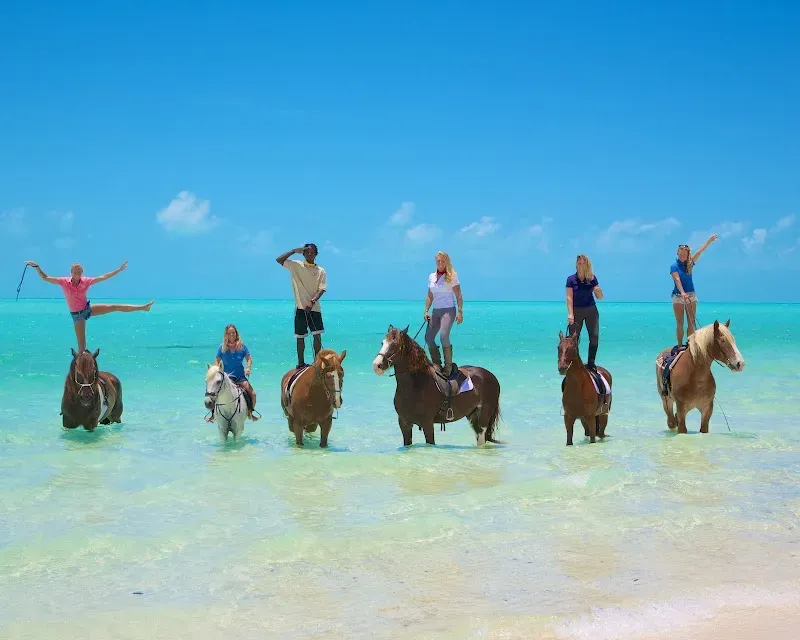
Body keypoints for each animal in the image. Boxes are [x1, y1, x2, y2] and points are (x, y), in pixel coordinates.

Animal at [372, 324, 502, 447]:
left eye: (395, 344)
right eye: (382, 342)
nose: (376, 365)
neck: (417, 385)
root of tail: (491, 376)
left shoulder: (427, 424)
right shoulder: (404, 424)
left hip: (484, 416)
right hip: (472, 416)